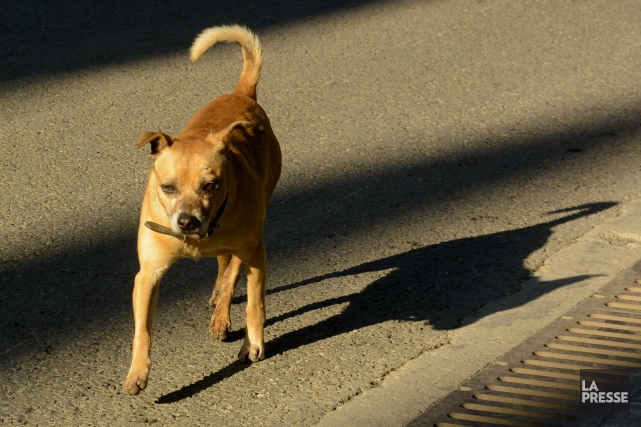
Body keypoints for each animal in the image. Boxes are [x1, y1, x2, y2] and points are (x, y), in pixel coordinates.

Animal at [122, 25, 280, 396]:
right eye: (167, 187)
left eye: (210, 185)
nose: (187, 221)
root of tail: (242, 93)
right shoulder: (148, 275)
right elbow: (142, 330)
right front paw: (138, 372)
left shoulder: (254, 253)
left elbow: (255, 303)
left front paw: (253, 343)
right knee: (224, 265)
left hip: (253, 230)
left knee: (232, 268)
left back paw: (222, 314)